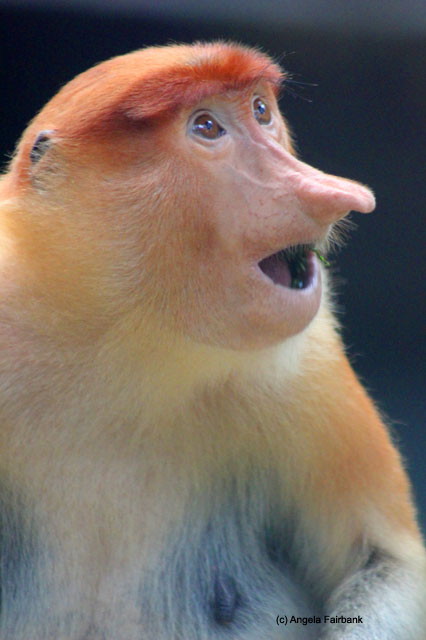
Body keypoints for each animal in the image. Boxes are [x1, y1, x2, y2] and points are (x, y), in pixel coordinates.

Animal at [0, 41, 424, 640]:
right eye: (206, 127)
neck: (123, 340)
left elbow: (384, 562)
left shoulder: (307, 365)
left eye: (261, 111)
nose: (338, 195)